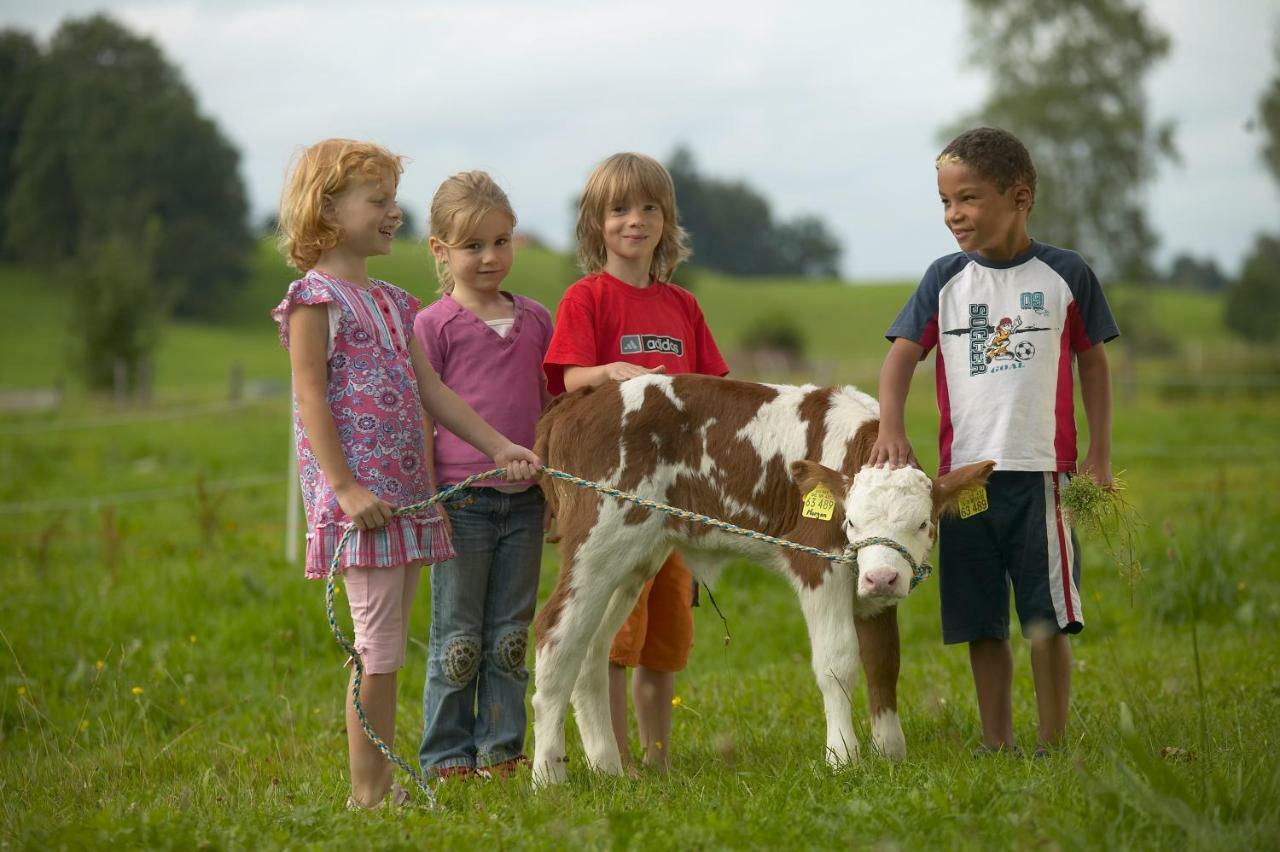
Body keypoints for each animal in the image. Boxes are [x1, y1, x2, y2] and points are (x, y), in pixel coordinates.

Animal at [529, 373, 988, 782]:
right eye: (852, 521)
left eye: (924, 524)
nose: (882, 578)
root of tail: (581, 399)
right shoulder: (818, 563)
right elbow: (838, 661)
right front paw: (843, 757)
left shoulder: (870, 589)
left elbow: (884, 660)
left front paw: (891, 752)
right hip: (598, 539)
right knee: (556, 633)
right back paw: (548, 776)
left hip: (633, 557)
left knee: (590, 649)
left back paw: (608, 768)